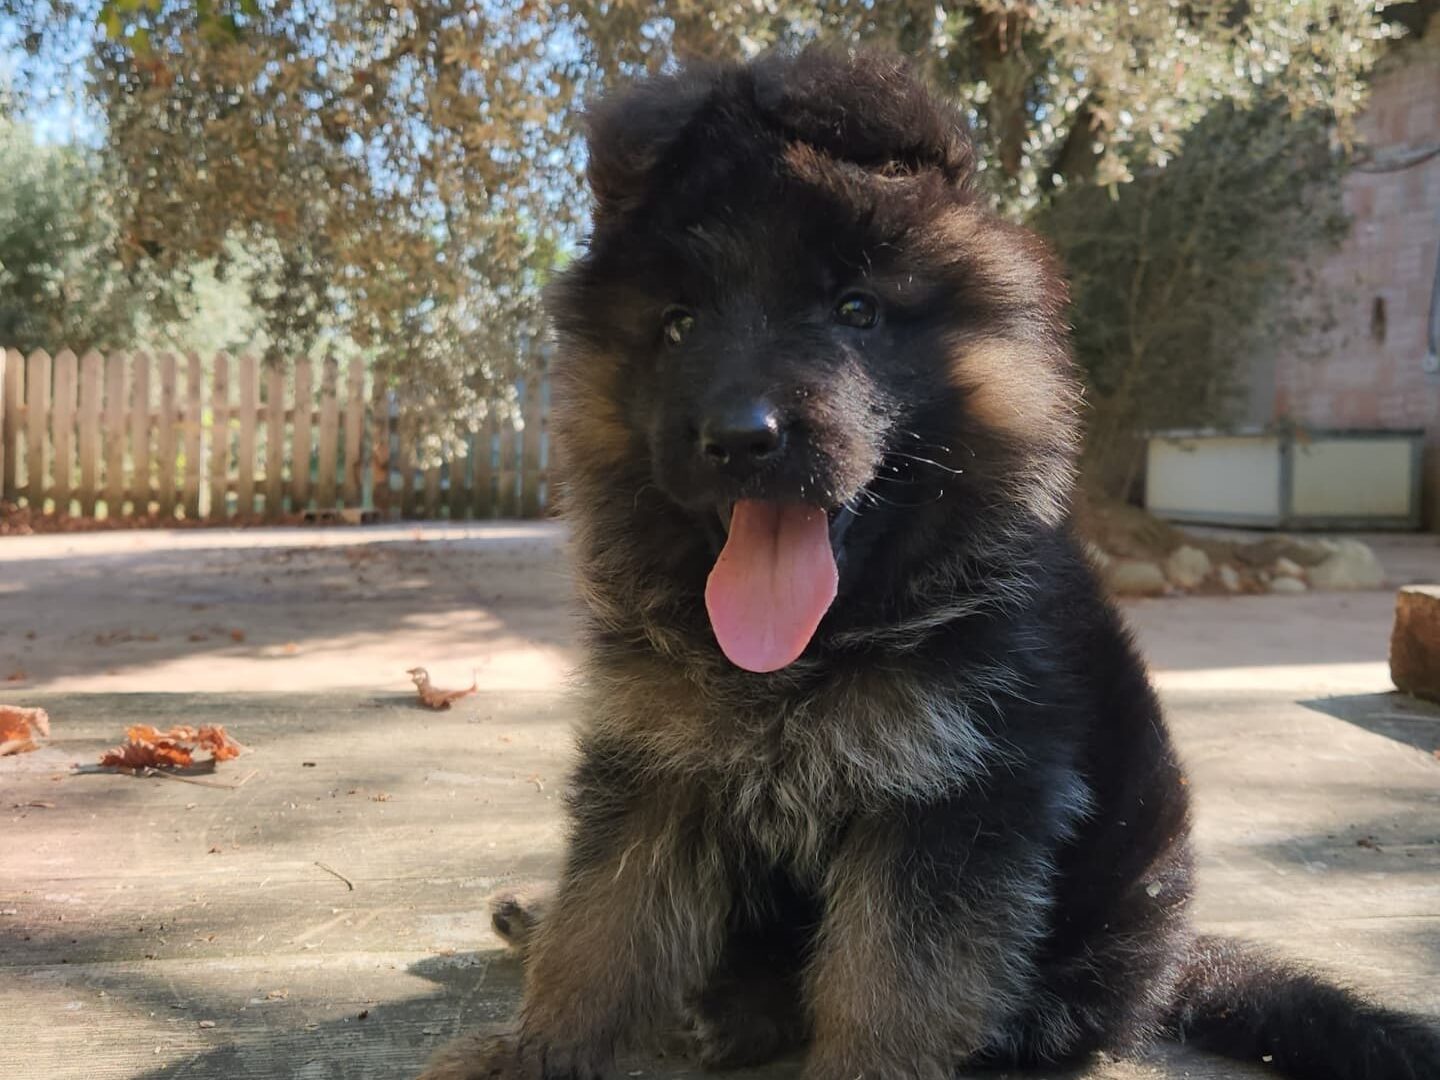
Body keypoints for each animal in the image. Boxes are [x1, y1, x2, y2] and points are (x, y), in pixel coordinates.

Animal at [420, 46, 1440, 1077]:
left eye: (856, 310)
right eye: (677, 324)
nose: (740, 438)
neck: (805, 656)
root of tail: (1175, 966)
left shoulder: (949, 805)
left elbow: (892, 982)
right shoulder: (659, 768)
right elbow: (604, 926)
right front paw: (541, 1047)